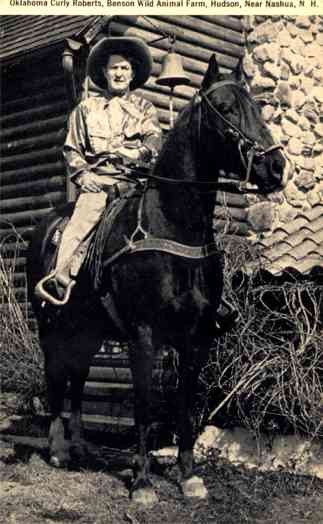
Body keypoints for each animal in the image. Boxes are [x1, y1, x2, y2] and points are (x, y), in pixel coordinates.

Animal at [27, 56, 286, 504]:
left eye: (257, 106)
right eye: (226, 108)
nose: (276, 166)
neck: (174, 228)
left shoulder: (195, 338)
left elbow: (184, 406)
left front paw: (188, 476)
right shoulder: (144, 336)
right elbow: (145, 406)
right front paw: (143, 482)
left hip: (88, 331)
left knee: (77, 380)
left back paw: (80, 446)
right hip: (49, 326)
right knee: (56, 378)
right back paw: (58, 449)